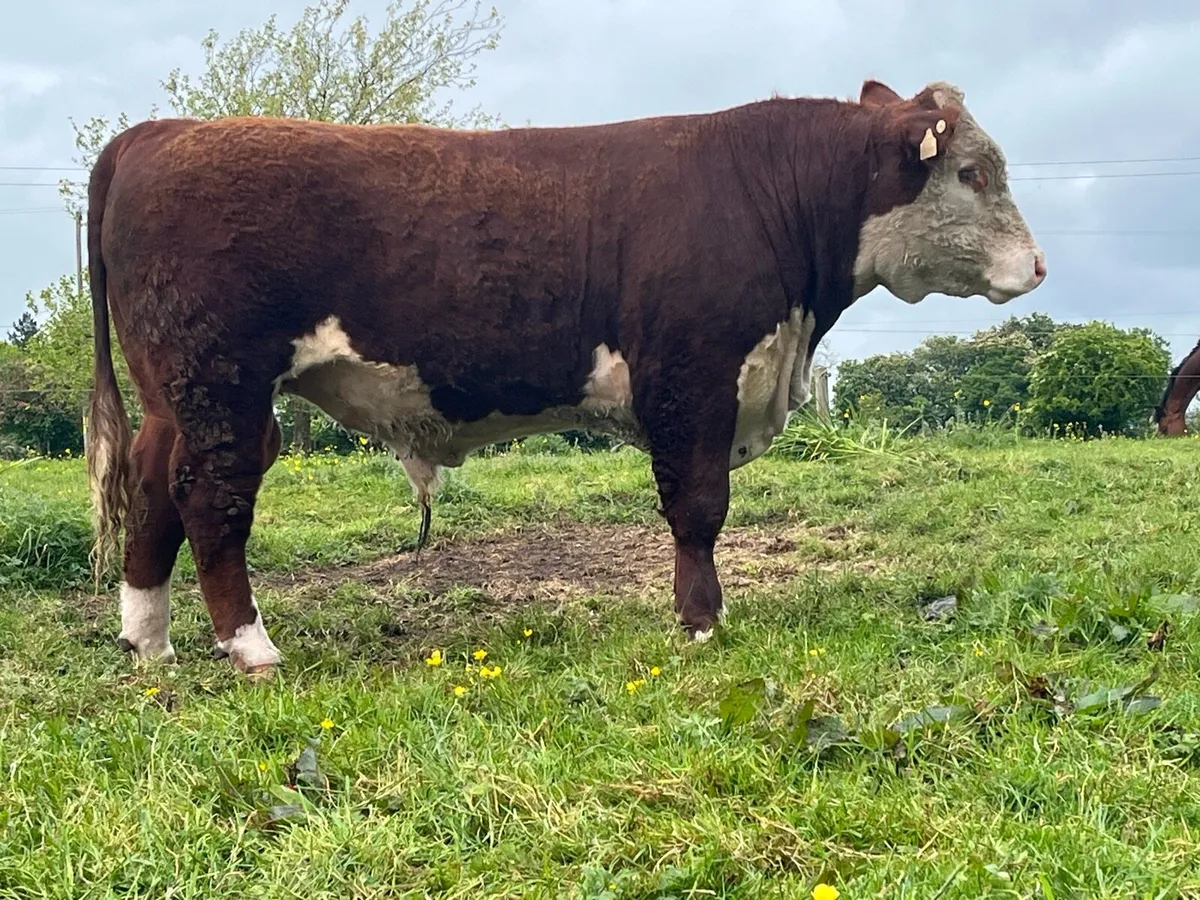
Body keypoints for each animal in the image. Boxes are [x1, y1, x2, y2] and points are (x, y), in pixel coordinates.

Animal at [84, 78, 1046, 674]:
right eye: (973, 172)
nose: (1037, 266)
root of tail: (161, 132)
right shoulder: (692, 376)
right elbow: (697, 507)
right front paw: (702, 623)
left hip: (178, 394)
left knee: (153, 489)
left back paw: (149, 642)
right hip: (222, 383)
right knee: (211, 497)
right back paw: (249, 646)